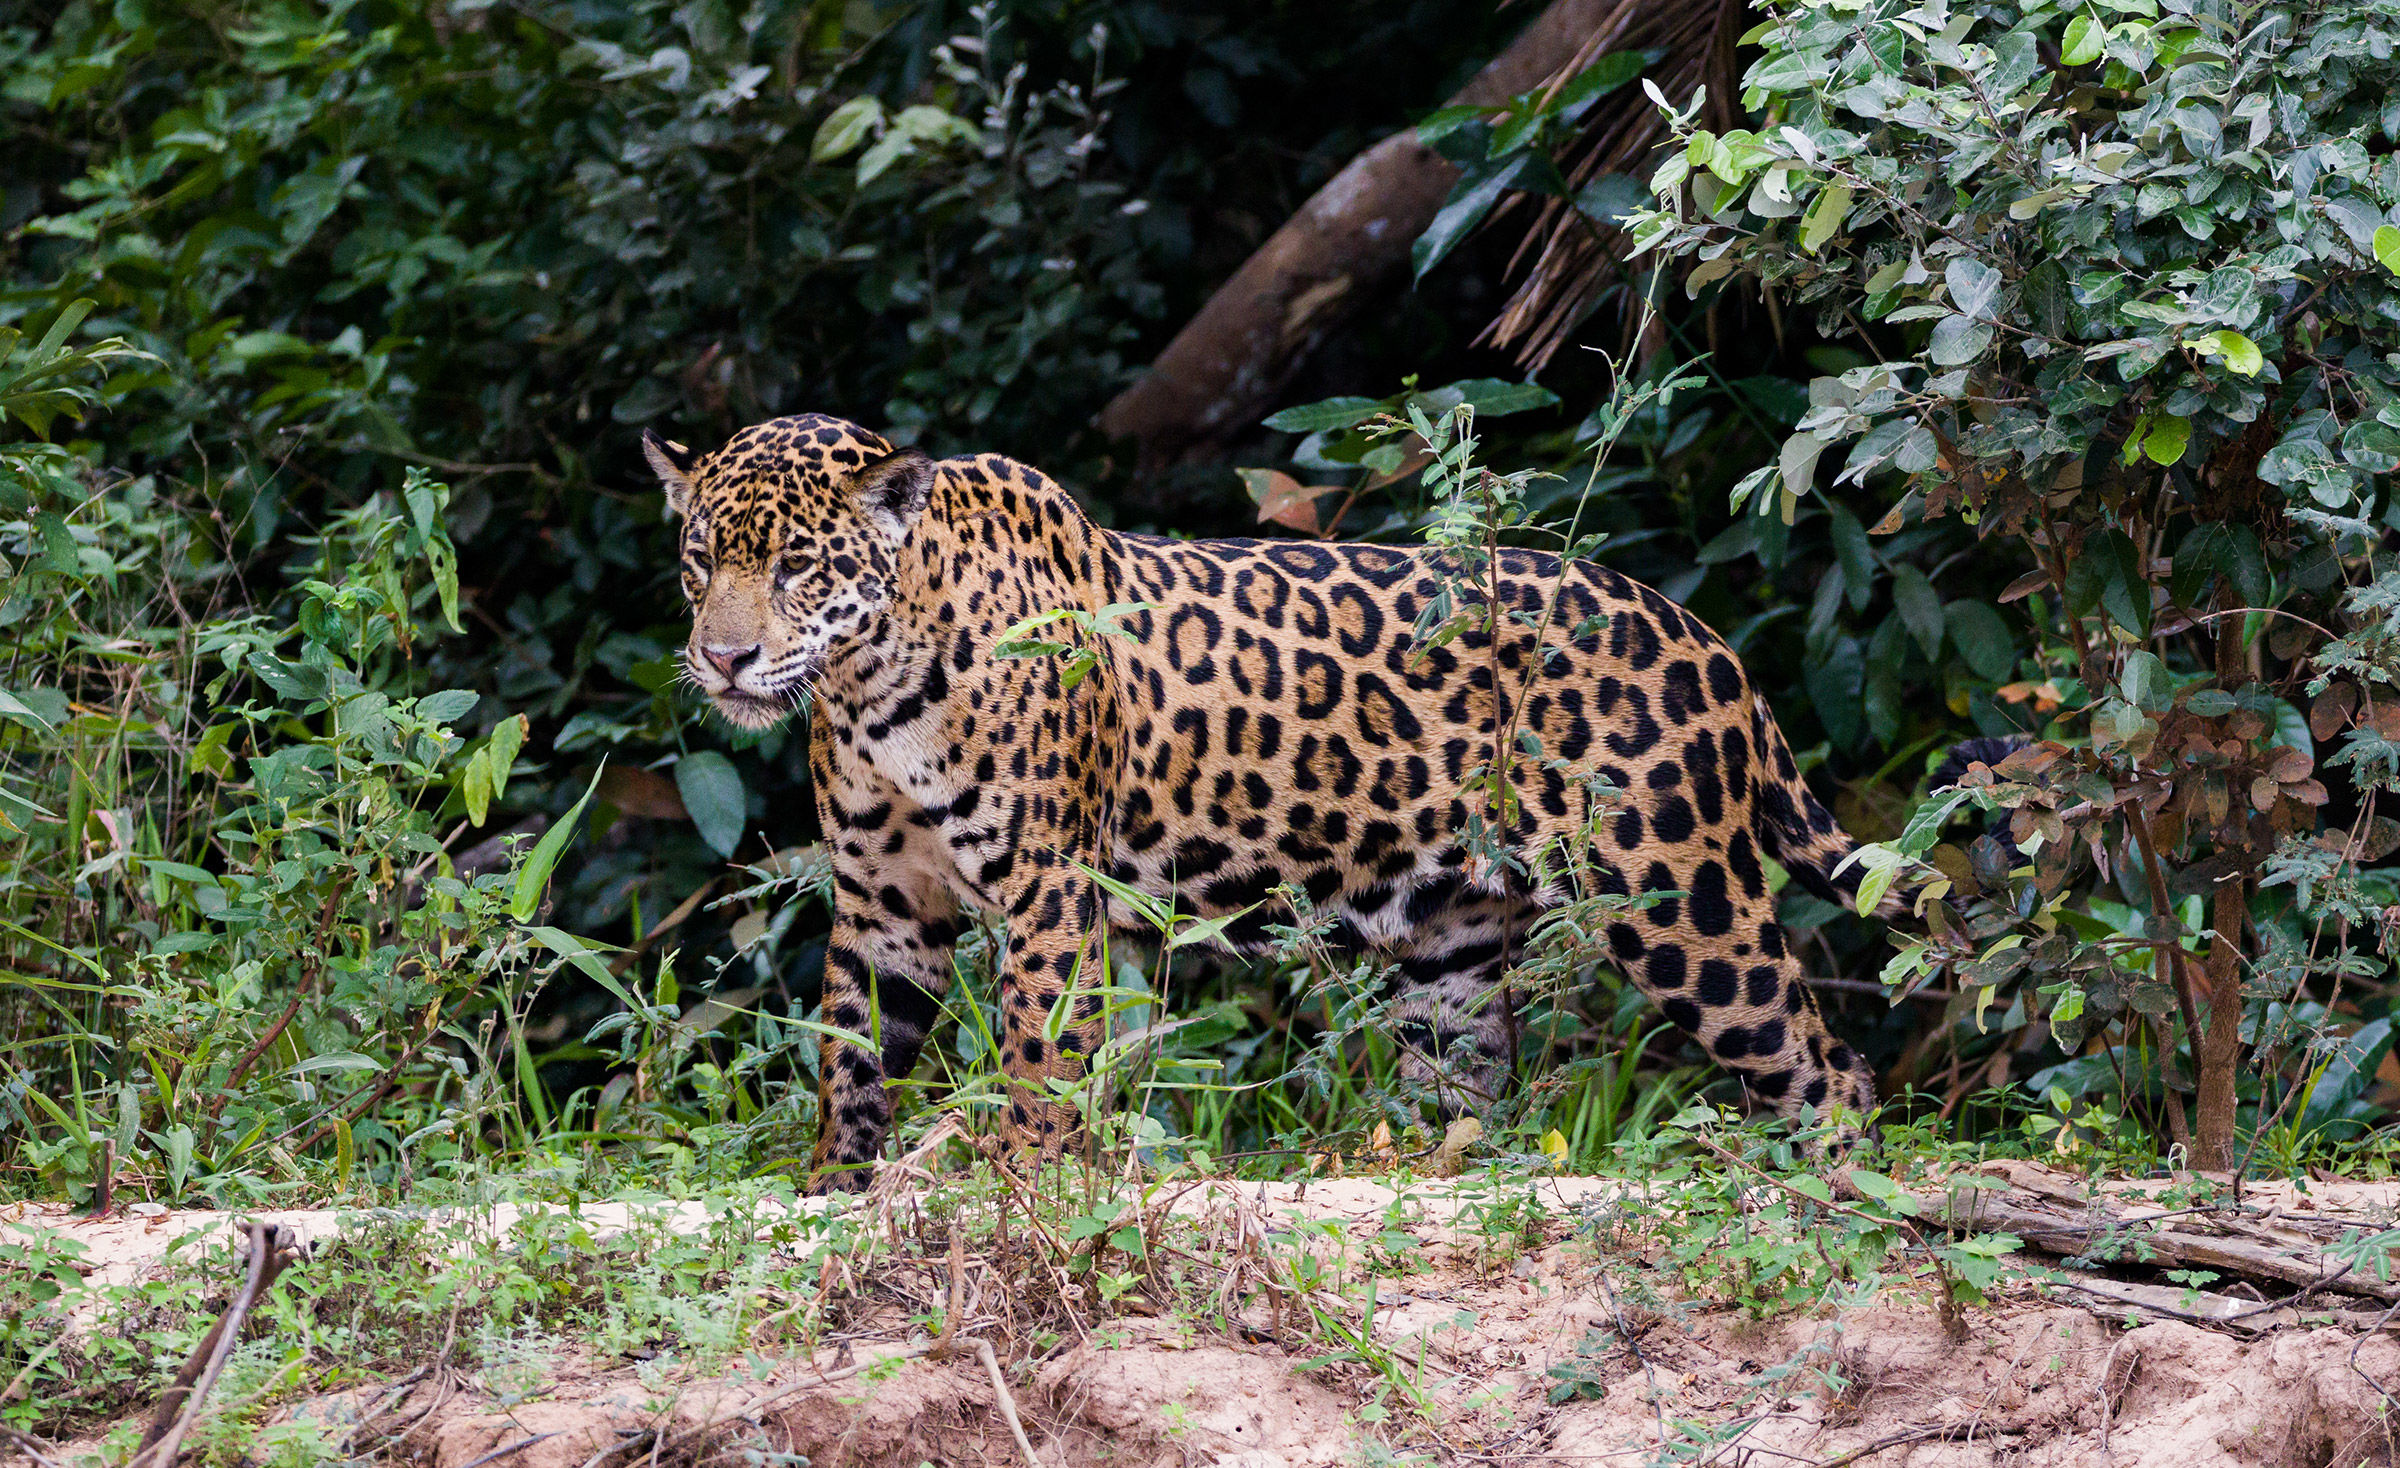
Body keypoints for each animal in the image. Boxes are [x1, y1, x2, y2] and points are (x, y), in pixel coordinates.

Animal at [644, 412, 1891, 1190]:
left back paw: (1836, 1187)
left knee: (1824, 1061)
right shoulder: (882, 901)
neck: (872, 681)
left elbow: (1040, 1046)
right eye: (700, 560)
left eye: (800, 564)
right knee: (1471, 1083)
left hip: (1679, 897)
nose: (723, 659)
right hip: (1451, 946)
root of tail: (1711, 643)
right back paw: (1429, 1169)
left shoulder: (1049, 887)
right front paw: (834, 1190)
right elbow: (850, 1056)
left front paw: (1028, 1176)